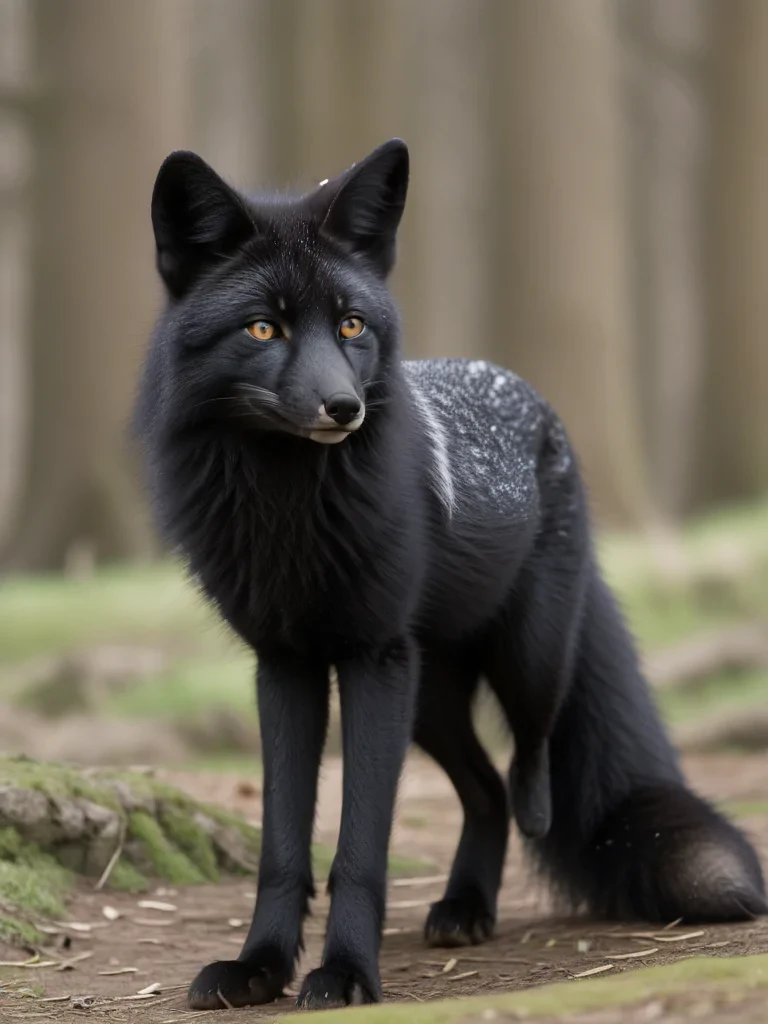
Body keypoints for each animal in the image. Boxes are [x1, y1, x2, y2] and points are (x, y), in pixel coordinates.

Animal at [135, 139, 766, 1011]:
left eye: (351, 325)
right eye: (264, 327)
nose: (343, 408)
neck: (287, 512)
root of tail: (528, 393)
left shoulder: (372, 660)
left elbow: (359, 849)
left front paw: (345, 973)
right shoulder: (285, 665)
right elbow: (284, 846)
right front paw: (258, 966)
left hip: (515, 664)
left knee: (527, 772)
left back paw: (513, 843)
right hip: (430, 699)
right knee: (485, 791)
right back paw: (466, 906)